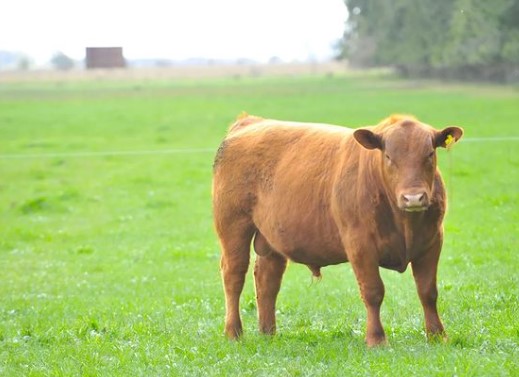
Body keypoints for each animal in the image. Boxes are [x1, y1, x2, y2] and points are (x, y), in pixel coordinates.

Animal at [211, 113, 464, 346]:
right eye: (388, 156)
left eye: (429, 154)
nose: (413, 198)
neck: (404, 222)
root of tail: (250, 121)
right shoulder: (360, 245)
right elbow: (373, 292)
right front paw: (376, 338)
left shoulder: (432, 242)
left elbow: (428, 291)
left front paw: (437, 335)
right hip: (234, 228)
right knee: (234, 276)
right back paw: (233, 332)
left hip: (271, 239)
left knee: (267, 280)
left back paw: (268, 333)